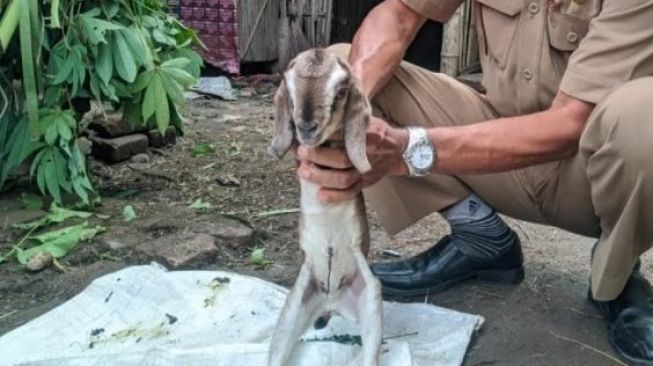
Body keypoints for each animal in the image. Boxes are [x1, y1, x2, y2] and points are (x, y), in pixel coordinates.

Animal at [268, 49, 382, 366]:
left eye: (341, 91)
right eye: (289, 87)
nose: (306, 126)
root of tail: (331, 301)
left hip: (370, 298)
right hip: (296, 303)